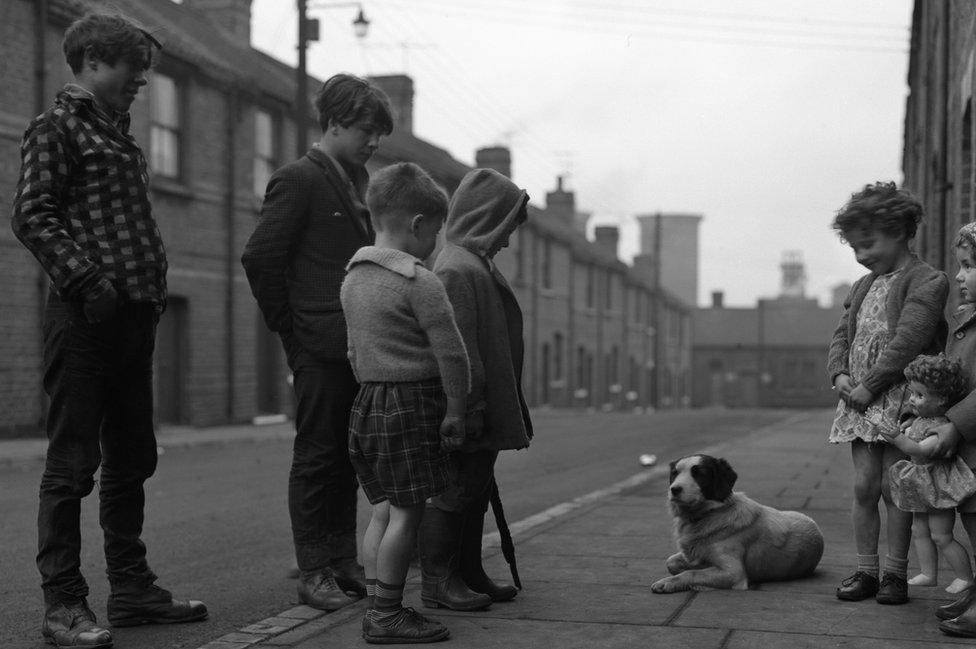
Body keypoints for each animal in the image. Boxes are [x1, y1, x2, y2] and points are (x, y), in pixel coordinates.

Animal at [656, 450, 824, 592]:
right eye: (674, 474)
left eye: (700, 474)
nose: (674, 489)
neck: (709, 514)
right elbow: (671, 562)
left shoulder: (733, 572)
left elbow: (691, 573)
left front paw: (669, 582)